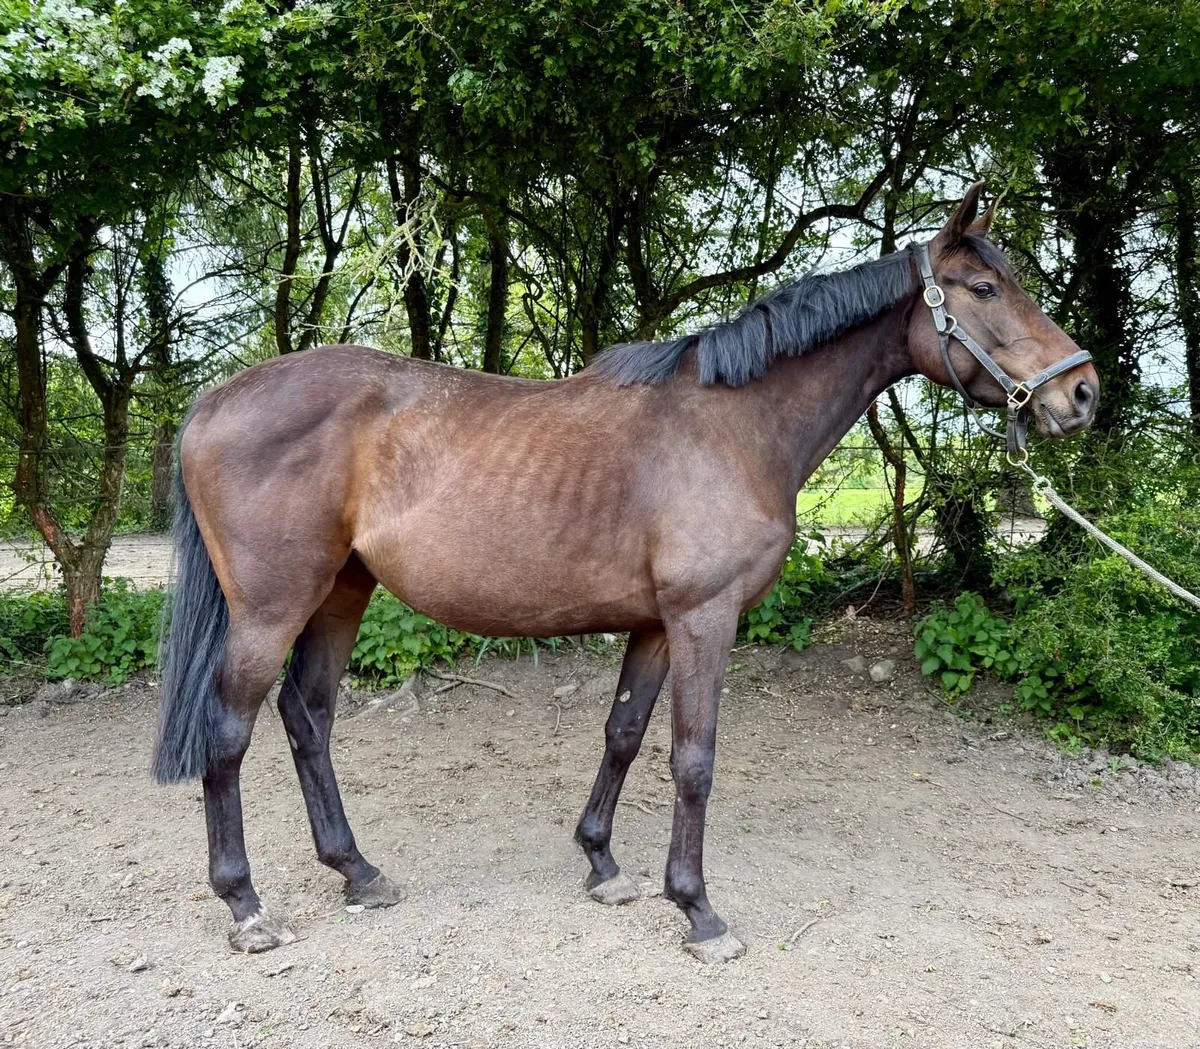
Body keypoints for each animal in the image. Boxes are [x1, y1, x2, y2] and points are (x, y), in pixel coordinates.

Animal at [152, 183, 1098, 964]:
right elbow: (693, 758)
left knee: (308, 717)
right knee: (229, 731)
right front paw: (700, 911)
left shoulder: (655, 623)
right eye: (983, 289)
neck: (734, 425)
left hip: (342, 593)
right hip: (272, 607)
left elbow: (624, 733)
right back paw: (246, 906)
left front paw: (603, 864)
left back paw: (358, 870)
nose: (1081, 392)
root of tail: (216, 400)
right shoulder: (705, 617)